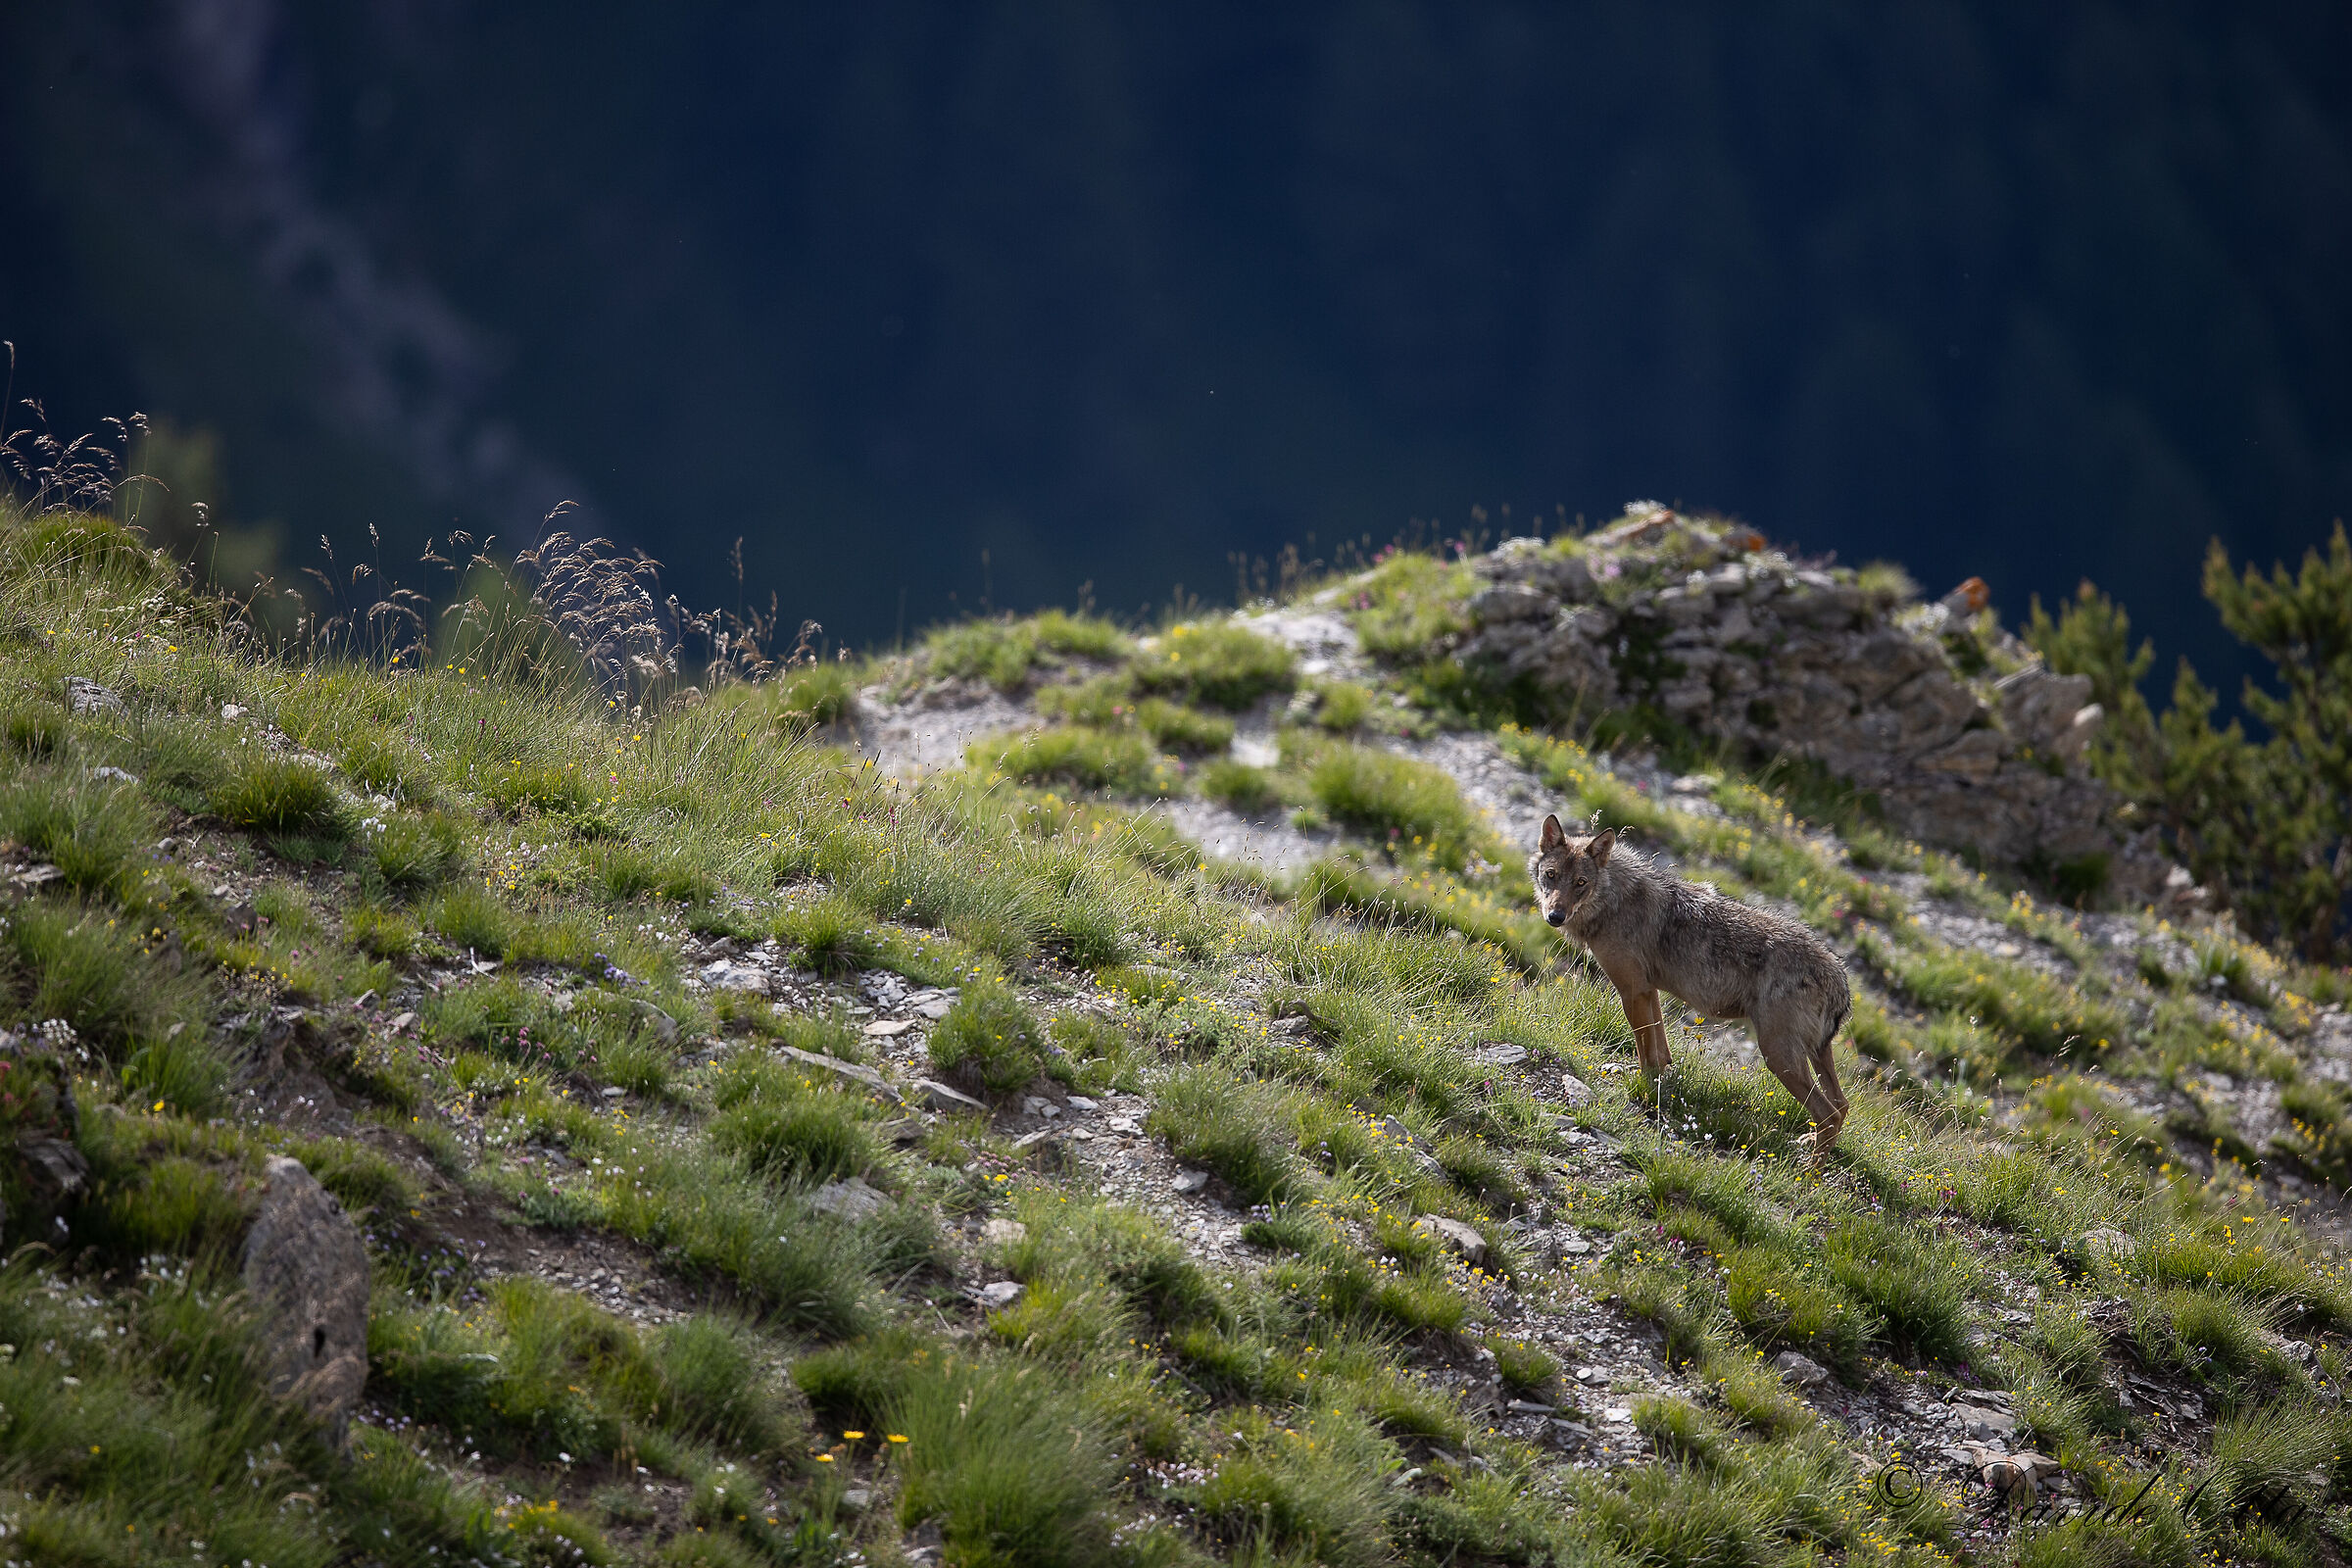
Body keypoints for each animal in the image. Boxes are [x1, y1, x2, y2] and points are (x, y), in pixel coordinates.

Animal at [1529, 813, 1851, 1154]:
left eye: (1581, 883)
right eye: (1551, 875)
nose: (1555, 916)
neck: (1612, 901)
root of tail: (1840, 981)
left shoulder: (1632, 990)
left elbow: (1647, 1053)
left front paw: (1645, 1089)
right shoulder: (1649, 990)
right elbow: (1660, 1051)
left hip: (1778, 1055)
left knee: (1828, 1112)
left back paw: (1810, 1166)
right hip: (1812, 1053)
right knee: (1841, 1105)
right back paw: (1810, 1142)